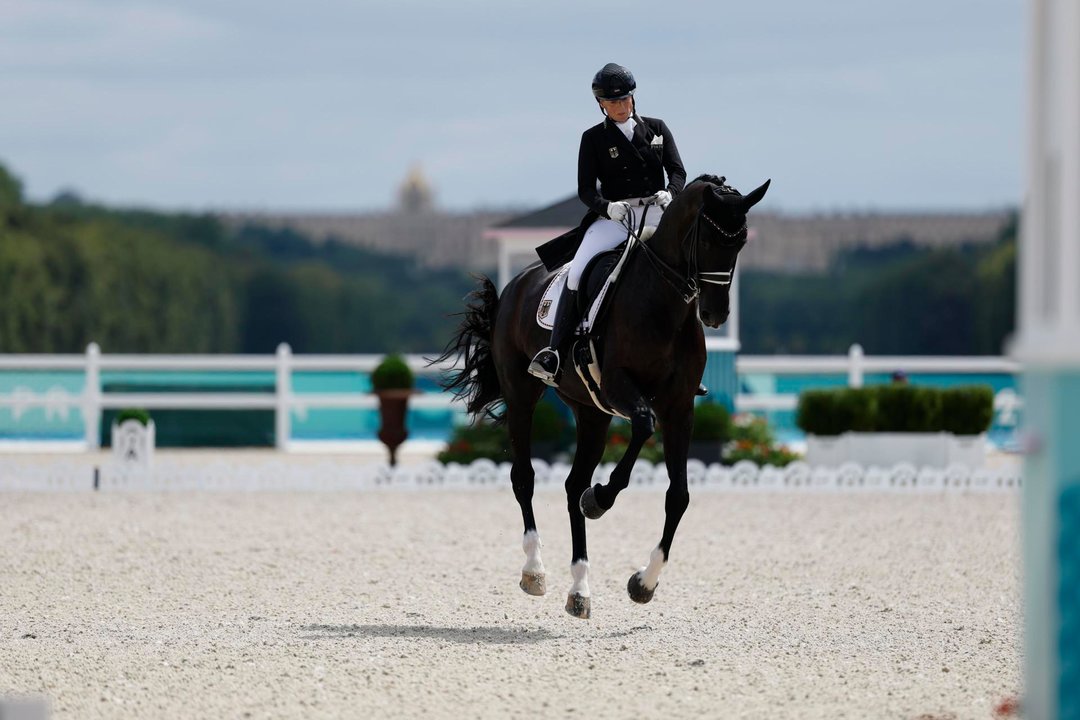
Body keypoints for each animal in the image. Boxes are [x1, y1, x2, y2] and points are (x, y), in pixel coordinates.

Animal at [436, 174, 768, 621]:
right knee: (524, 477)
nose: (715, 315)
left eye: (742, 240)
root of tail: (517, 283)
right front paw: (601, 499)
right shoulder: (619, 387)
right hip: (523, 396)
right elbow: (642, 427)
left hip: (590, 413)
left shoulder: (680, 408)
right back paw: (535, 570)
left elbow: (678, 496)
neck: (663, 306)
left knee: (572, 485)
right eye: (709, 238)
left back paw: (580, 589)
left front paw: (644, 582)